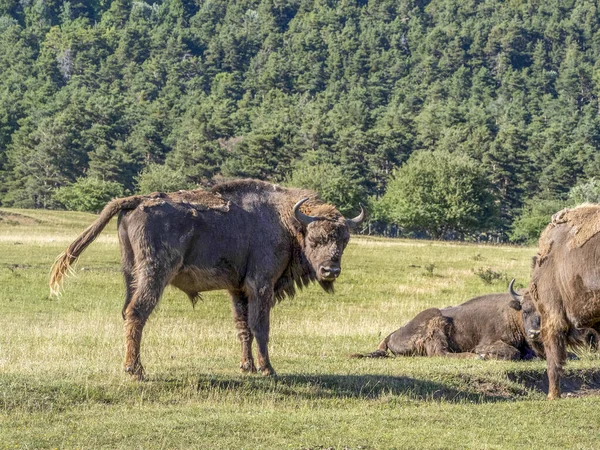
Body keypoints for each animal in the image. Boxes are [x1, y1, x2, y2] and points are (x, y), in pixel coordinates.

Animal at [49, 179, 364, 380]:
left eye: (344, 240)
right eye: (315, 238)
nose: (330, 271)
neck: (285, 219)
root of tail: (137, 201)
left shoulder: (238, 290)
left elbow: (243, 327)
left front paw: (247, 367)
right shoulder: (261, 286)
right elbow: (260, 326)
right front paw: (267, 369)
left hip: (131, 274)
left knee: (127, 312)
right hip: (154, 274)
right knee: (137, 313)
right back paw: (135, 371)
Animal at [354, 282, 548, 362]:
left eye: (545, 312)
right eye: (525, 310)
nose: (535, 333)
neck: (511, 313)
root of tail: (393, 334)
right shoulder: (488, 342)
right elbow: (513, 353)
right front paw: (483, 354)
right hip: (436, 321)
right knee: (441, 353)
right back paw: (475, 357)